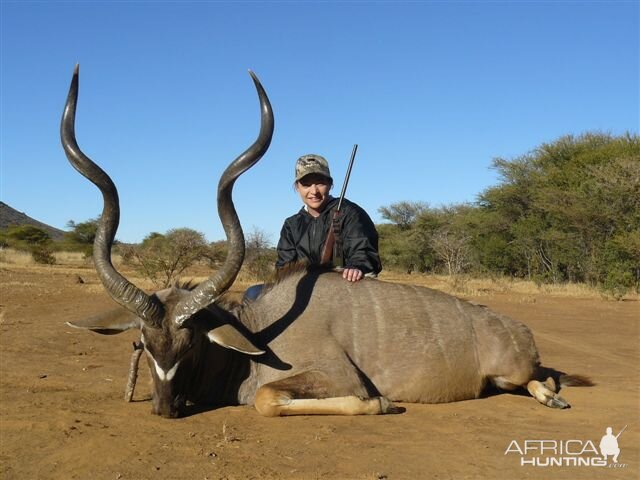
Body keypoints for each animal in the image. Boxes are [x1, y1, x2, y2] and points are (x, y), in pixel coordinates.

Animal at [62, 65, 592, 418]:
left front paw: (383, 402)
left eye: (190, 343)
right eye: (143, 342)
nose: (165, 409)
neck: (257, 330)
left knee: (544, 377)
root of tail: (516, 328)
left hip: (512, 371)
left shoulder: (333, 375)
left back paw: (555, 398)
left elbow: (270, 399)